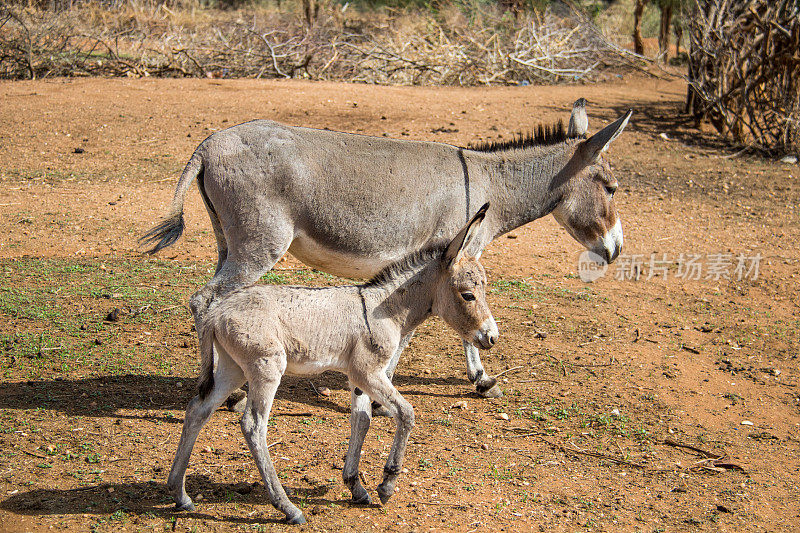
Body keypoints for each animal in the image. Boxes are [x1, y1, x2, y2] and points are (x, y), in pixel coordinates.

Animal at [166, 205, 496, 524]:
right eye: (468, 295)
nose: (492, 337)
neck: (385, 307)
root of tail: (216, 314)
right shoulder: (369, 372)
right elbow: (406, 413)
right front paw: (387, 484)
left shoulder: (357, 378)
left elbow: (361, 421)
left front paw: (356, 486)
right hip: (266, 368)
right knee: (253, 425)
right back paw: (287, 508)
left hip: (231, 369)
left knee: (198, 409)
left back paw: (179, 494)